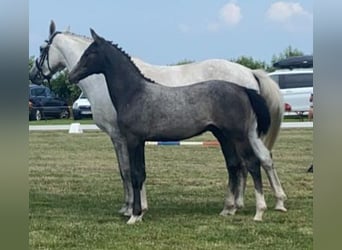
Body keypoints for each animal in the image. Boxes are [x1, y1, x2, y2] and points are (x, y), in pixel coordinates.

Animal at [68, 29, 276, 225]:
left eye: (90, 53)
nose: (71, 76)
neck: (134, 93)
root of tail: (243, 89)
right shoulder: (140, 142)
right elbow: (141, 173)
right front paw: (140, 213)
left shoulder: (134, 140)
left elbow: (135, 174)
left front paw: (134, 215)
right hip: (224, 136)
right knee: (234, 165)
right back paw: (228, 209)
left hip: (239, 136)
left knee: (252, 163)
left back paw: (259, 211)